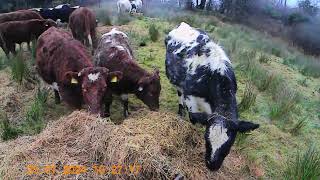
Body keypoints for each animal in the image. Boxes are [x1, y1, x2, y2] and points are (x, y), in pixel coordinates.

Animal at [165, 22, 260, 172]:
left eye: (230, 144)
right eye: (206, 139)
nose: (212, 165)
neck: (212, 73)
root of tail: (184, 24)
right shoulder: (190, 97)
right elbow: (193, 118)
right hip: (178, 84)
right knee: (180, 96)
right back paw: (180, 113)